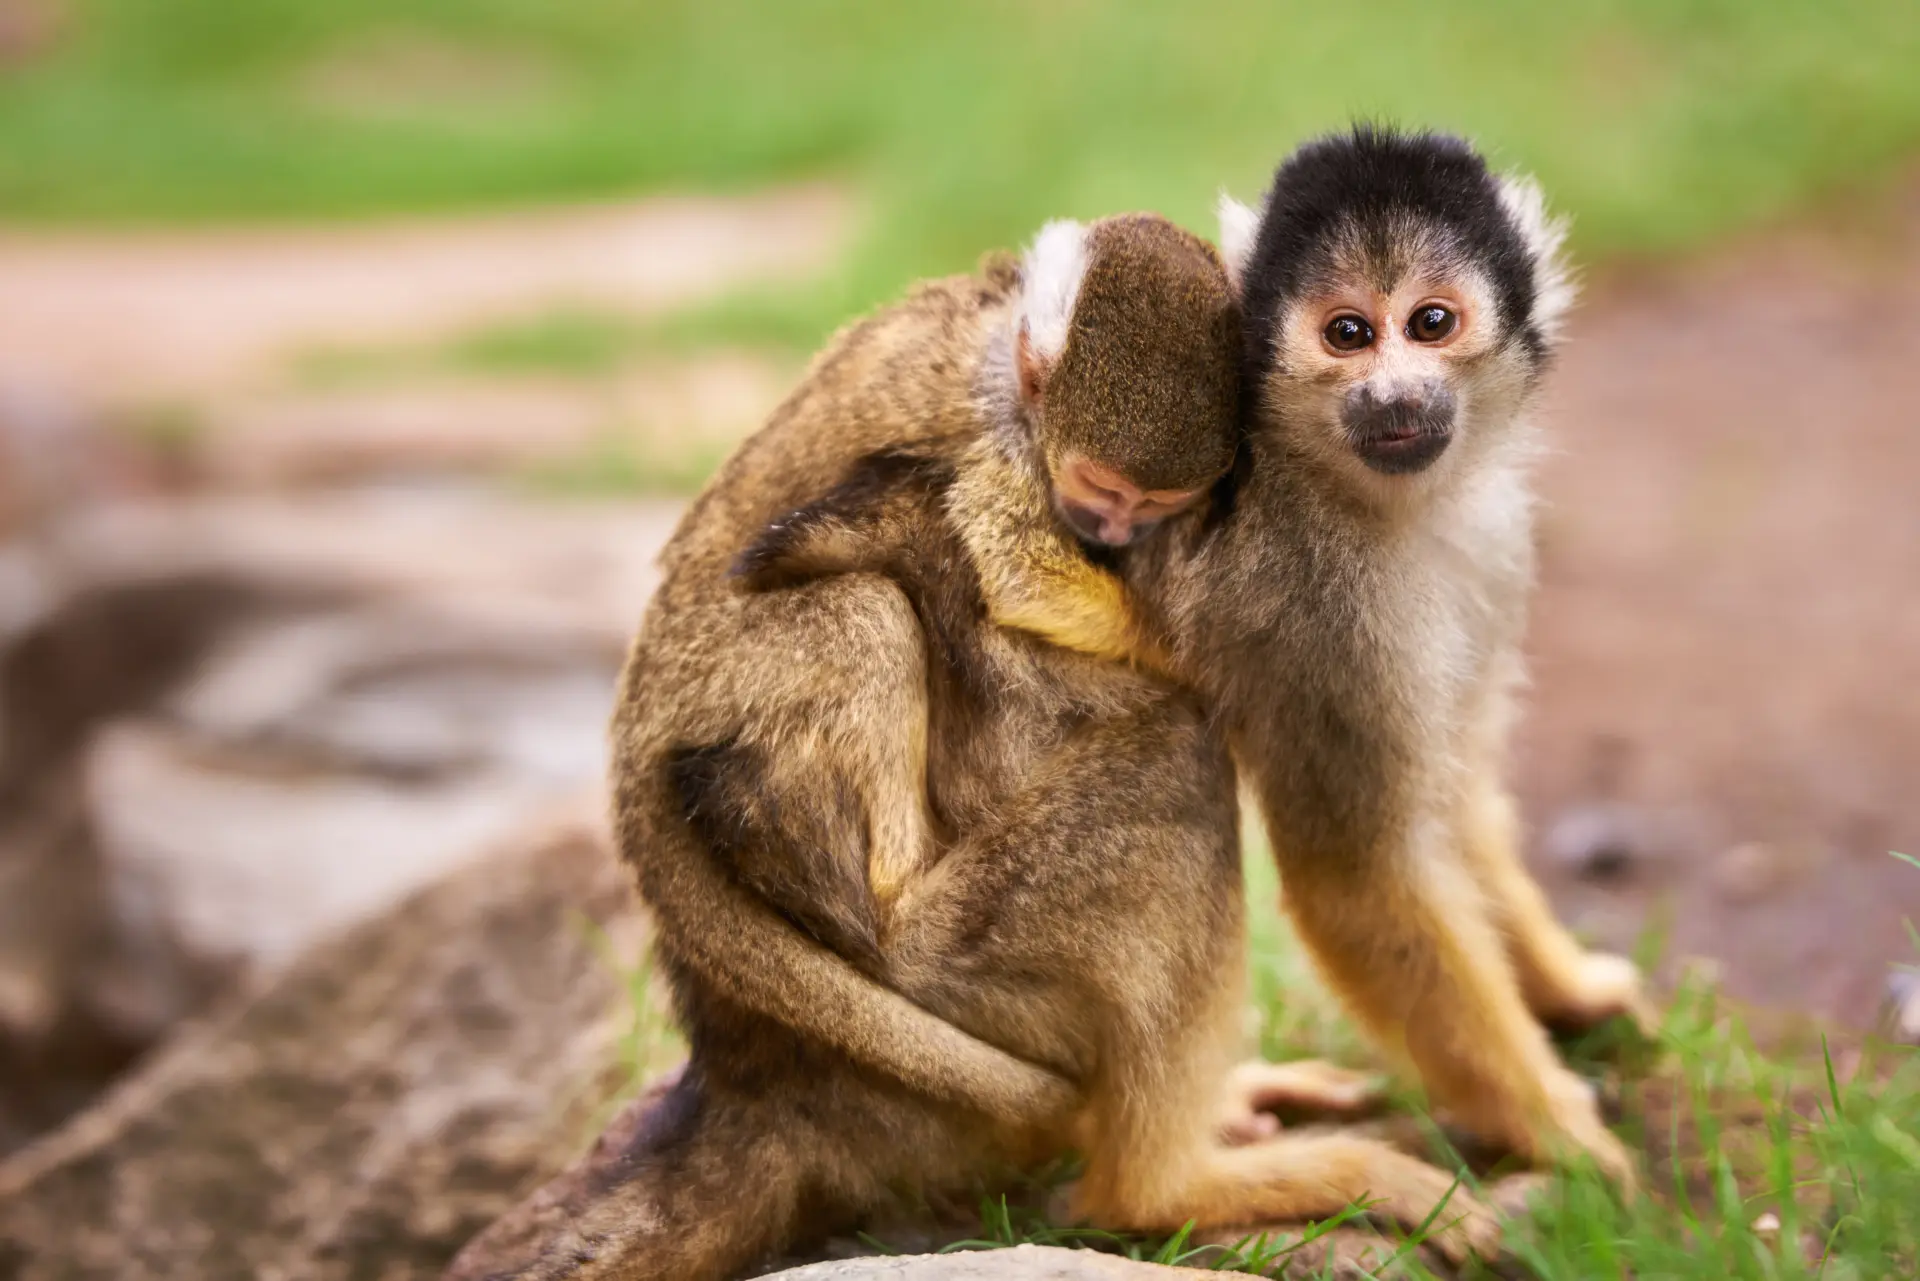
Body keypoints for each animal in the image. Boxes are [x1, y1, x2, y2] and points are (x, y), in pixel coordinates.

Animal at [457, 212, 1505, 1281]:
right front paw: (1197, 651)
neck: (1010, 348)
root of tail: (632, 739)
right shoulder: (999, 442)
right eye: (1100, 486)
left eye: (1154, 504)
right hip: (724, 693)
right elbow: (1017, 565)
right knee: (870, 617)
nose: (1108, 525)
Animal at [1118, 125, 1646, 1187]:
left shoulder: (1488, 543)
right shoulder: (1315, 604)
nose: (1393, 393)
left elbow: (1455, 793)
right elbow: (1356, 878)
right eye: (1349, 335)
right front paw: (1561, 1134)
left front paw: (1568, 990)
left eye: (1430, 323)